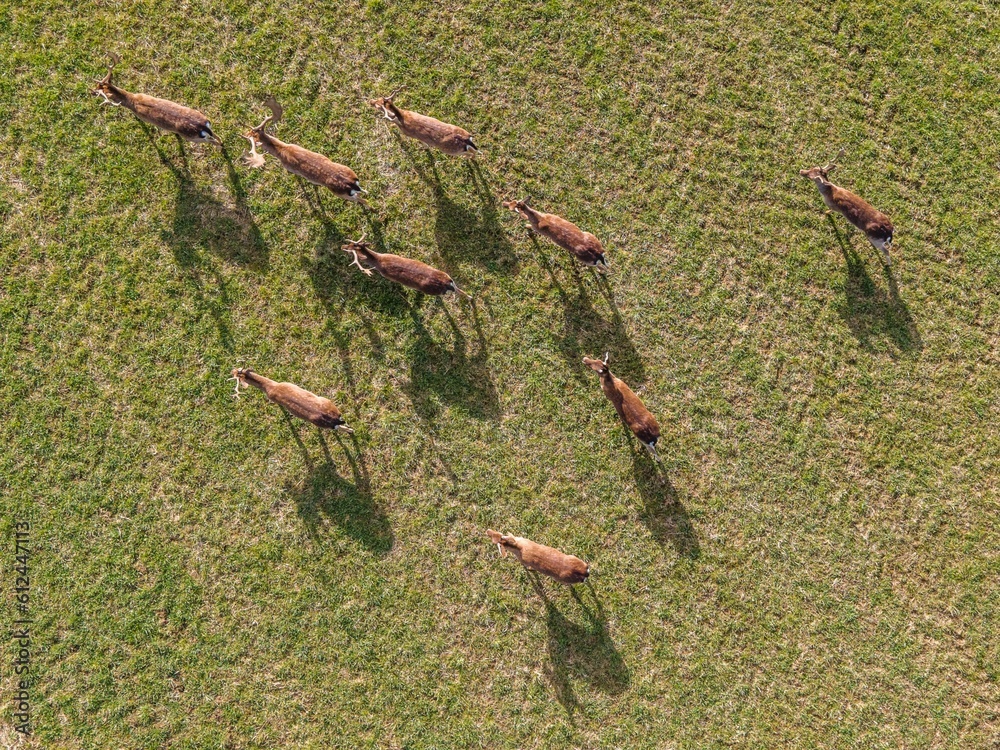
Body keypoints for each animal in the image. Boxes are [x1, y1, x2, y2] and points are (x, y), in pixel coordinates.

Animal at [91, 54, 221, 145]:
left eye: (97, 91)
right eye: (97, 86)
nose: (91, 91)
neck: (133, 101)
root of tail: (203, 127)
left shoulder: (142, 116)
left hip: (192, 137)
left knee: (214, 142)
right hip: (206, 123)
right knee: (218, 137)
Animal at [341, 236, 471, 299]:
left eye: (351, 249)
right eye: (350, 244)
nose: (343, 246)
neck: (378, 260)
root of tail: (445, 283)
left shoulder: (386, 275)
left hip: (433, 291)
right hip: (447, 275)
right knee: (460, 289)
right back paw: (471, 298)